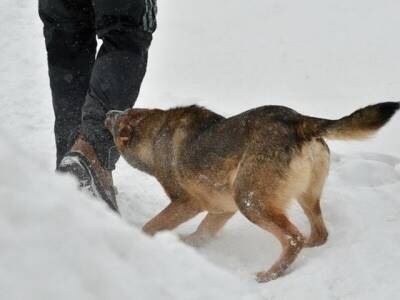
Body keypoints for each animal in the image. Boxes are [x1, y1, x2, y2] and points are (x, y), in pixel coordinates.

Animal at [104, 102, 398, 282]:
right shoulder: (221, 209)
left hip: (249, 201)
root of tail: (298, 120)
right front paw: (186, 247)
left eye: (117, 121)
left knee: (294, 238)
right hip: (304, 198)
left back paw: (269, 275)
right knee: (318, 234)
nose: (107, 112)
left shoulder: (188, 202)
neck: (154, 135)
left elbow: (151, 226)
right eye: (121, 112)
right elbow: (201, 233)